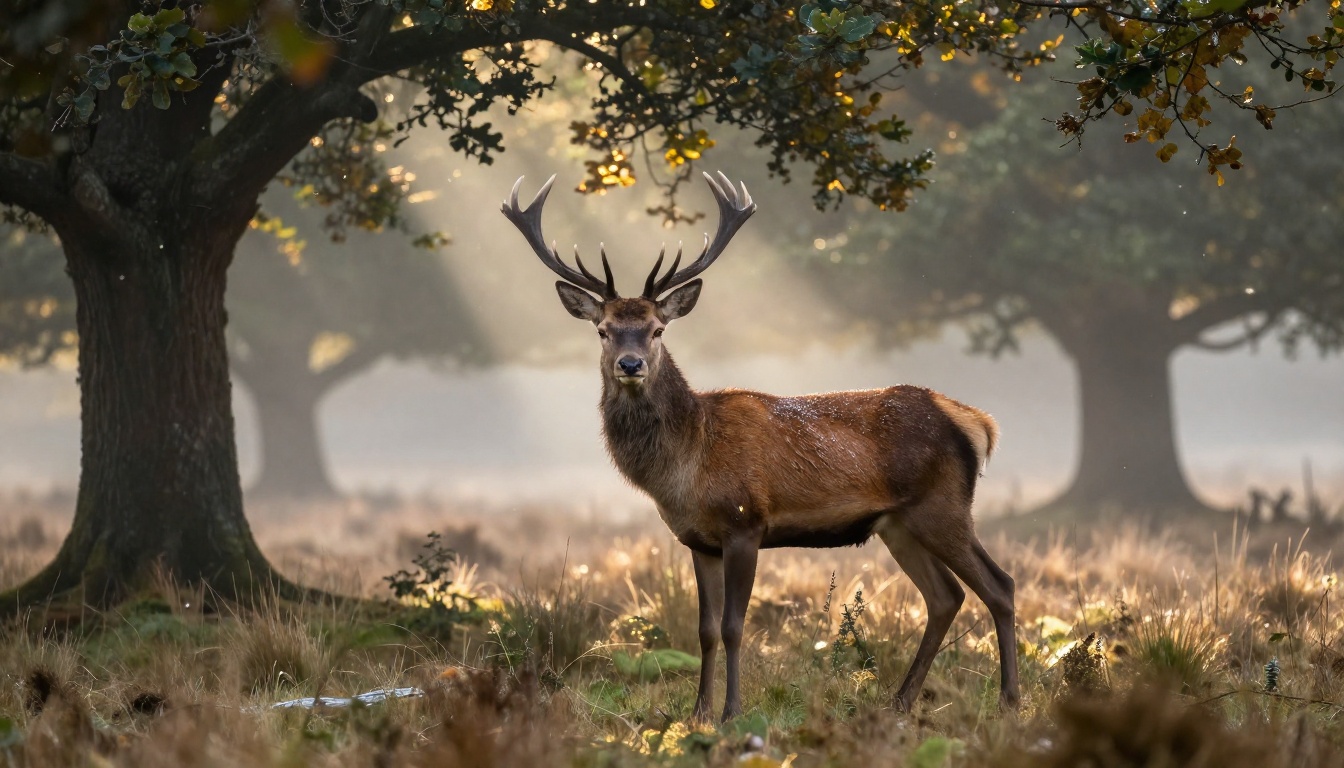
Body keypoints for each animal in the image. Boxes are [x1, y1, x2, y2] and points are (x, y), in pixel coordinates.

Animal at [502, 171, 1019, 723]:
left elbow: (734, 625)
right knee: (945, 597)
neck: (687, 466)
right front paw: (699, 712)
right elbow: (705, 630)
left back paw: (1009, 700)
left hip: (942, 506)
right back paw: (899, 702)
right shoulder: (697, 540)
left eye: (657, 330)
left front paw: (732, 712)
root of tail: (976, 421)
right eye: (603, 330)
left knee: (999, 585)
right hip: (897, 523)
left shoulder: (745, 523)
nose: (630, 364)